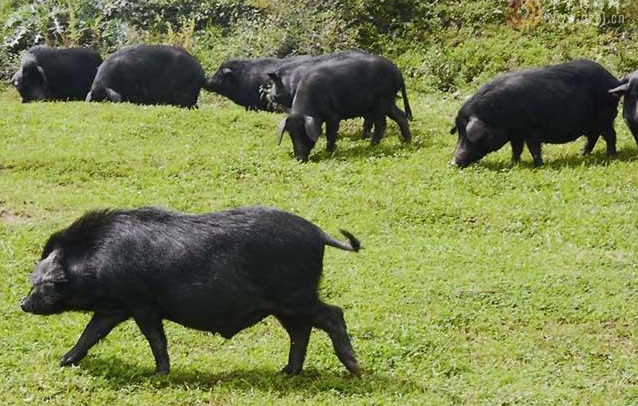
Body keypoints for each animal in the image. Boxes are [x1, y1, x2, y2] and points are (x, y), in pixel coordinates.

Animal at [22, 208, 362, 376]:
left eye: (42, 283)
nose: (23, 304)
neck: (97, 259)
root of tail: (318, 233)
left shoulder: (142, 305)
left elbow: (155, 339)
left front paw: (158, 375)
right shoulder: (114, 307)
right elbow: (90, 333)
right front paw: (64, 362)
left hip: (296, 297)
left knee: (333, 314)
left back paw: (354, 369)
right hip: (284, 306)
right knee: (300, 332)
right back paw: (287, 372)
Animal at [280, 57, 416, 162]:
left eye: (304, 133)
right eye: (291, 135)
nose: (299, 158)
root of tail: (398, 72)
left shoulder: (333, 115)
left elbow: (330, 133)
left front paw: (329, 152)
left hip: (381, 101)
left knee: (382, 124)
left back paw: (371, 146)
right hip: (388, 101)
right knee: (401, 116)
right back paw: (407, 142)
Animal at [450, 59, 624, 167]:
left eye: (467, 135)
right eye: (459, 133)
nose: (452, 163)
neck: (496, 115)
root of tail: (614, 80)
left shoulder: (531, 129)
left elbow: (533, 147)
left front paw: (539, 165)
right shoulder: (515, 134)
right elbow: (516, 149)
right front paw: (512, 164)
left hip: (605, 117)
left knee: (610, 134)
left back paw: (610, 155)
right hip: (591, 123)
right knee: (593, 137)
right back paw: (581, 154)